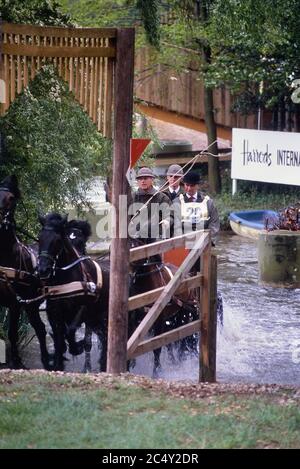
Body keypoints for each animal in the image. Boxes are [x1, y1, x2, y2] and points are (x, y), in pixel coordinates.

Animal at [0, 176, 51, 370]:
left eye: (11, 198)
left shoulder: (16, 303)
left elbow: (13, 333)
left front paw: (17, 362)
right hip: (31, 305)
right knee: (40, 328)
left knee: (42, 329)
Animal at [36, 211, 109, 370]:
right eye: (39, 238)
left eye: (57, 240)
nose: (43, 269)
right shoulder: (54, 312)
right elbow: (59, 339)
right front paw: (58, 363)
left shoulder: (82, 309)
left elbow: (70, 332)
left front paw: (77, 347)